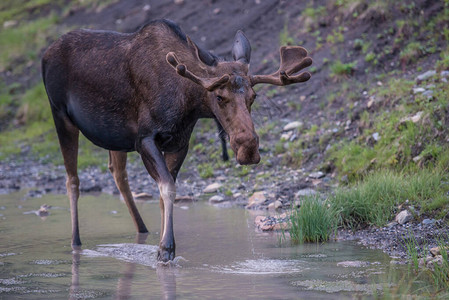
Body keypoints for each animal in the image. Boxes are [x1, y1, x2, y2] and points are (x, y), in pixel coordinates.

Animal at [41, 19, 312, 262]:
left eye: (253, 96)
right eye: (219, 96)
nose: (248, 148)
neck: (186, 102)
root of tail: (45, 54)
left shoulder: (180, 143)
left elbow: (164, 193)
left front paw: (161, 245)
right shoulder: (145, 139)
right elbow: (168, 188)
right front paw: (166, 249)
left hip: (113, 135)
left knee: (118, 174)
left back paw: (142, 230)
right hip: (60, 114)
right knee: (72, 180)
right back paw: (76, 241)